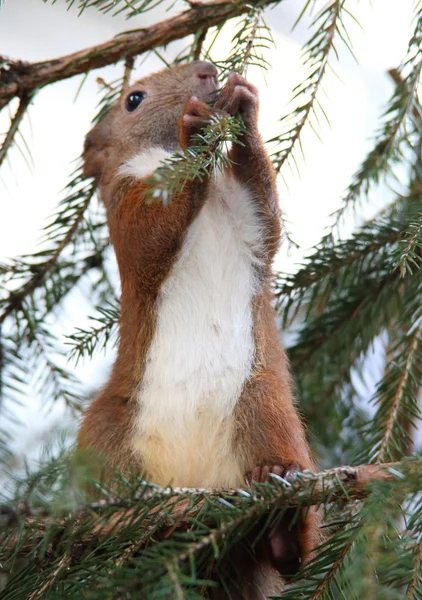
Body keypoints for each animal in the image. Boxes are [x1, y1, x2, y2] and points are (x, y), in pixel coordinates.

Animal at [77, 59, 318, 596]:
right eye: (133, 99)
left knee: (291, 553)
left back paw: (280, 511)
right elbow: (150, 234)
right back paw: (102, 527)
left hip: (263, 402)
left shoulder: (250, 222)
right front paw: (195, 134)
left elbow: (266, 211)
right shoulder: (125, 210)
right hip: (108, 434)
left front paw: (245, 110)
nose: (208, 69)